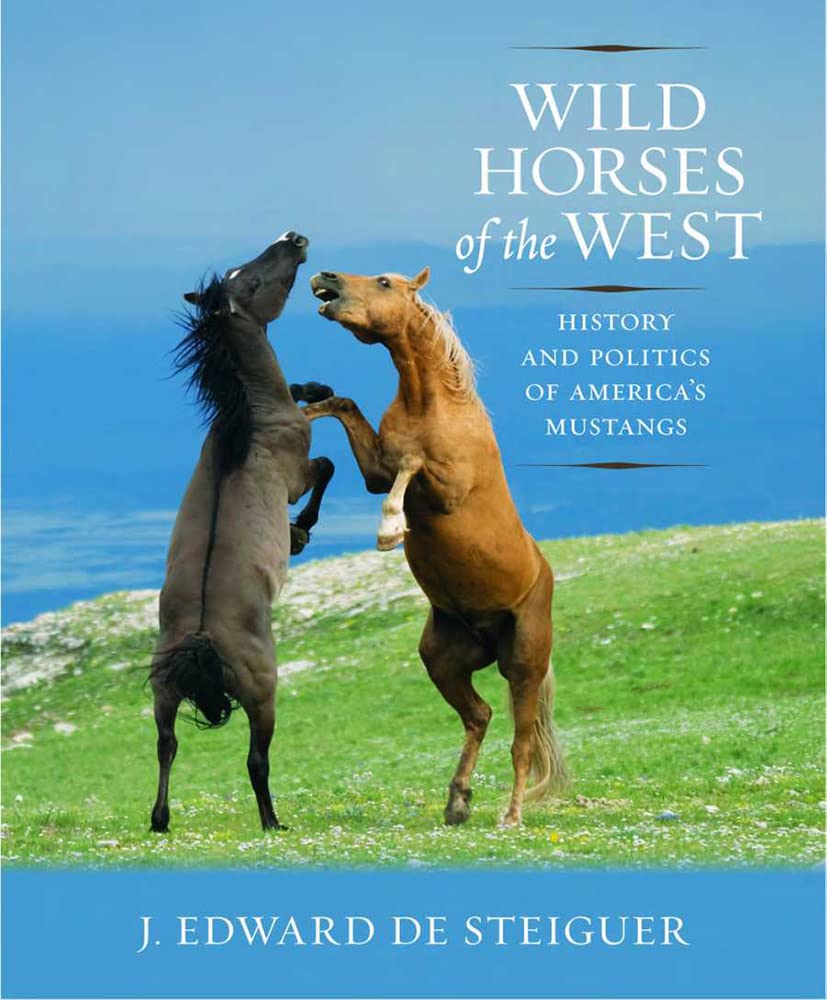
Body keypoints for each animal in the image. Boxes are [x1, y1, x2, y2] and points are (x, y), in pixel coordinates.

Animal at [149, 232, 335, 833]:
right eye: (251, 280)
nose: (294, 238)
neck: (250, 418)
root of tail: (203, 639)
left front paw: (314, 385)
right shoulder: (297, 474)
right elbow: (326, 466)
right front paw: (300, 533)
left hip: (162, 693)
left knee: (166, 745)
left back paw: (160, 819)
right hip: (262, 692)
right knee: (256, 758)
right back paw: (272, 821)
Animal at [303, 266, 567, 827]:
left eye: (384, 282)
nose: (325, 276)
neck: (433, 404)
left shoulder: (443, 488)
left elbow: (413, 464)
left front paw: (389, 531)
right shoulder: (376, 471)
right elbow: (345, 407)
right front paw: (307, 400)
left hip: (524, 662)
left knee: (521, 742)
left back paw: (510, 816)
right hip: (442, 659)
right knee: (480, 715)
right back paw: (458, 800)